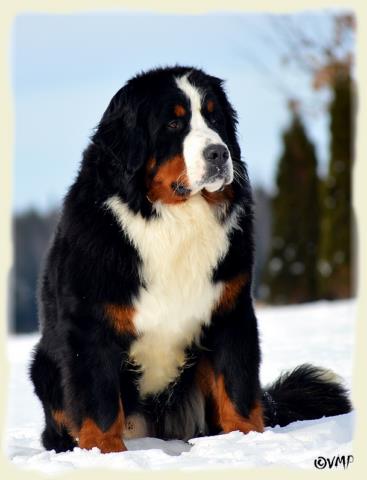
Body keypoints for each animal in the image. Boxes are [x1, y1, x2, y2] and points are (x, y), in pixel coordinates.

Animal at [28, 64, 350, 454]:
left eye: (214, 117)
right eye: (173, 123)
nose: (219, 153)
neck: (174, 218)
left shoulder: (230, 311)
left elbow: (237, 388)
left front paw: (246, 441)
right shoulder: (90, 324)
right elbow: (100, 406)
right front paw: (106, 453)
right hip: (44, 365)